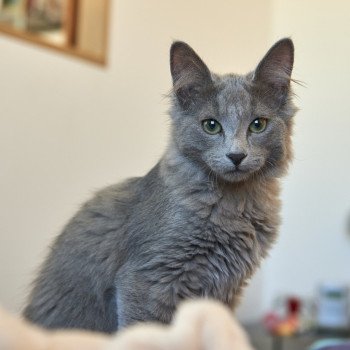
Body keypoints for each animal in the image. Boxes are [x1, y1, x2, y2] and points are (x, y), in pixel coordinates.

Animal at [23, 38, 296, 334]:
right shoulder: (147, 278)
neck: (234, 206)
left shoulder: (225, 291)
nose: (236, 156)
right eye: (211, 126)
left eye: (258, 125)